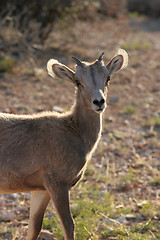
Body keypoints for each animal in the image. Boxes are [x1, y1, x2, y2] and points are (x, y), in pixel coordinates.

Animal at [0, 49, 127, 240]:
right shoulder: (58, 184)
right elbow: (68, 225)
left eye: (108, 77)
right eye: (78, 81)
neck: (74, 131)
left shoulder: (41, 189)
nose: (99, 102)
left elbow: (34, 227)